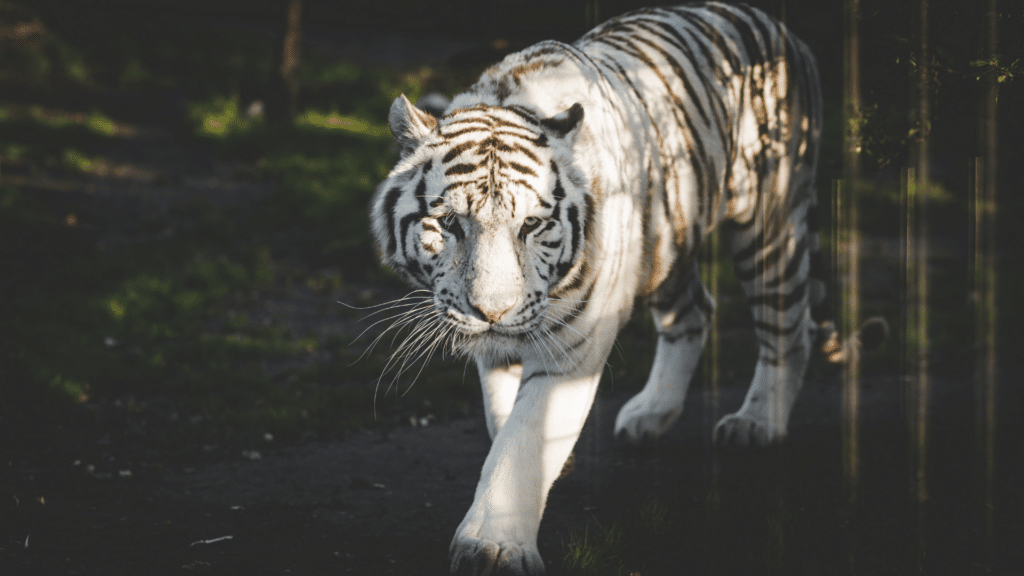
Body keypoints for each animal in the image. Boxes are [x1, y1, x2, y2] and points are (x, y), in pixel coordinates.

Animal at [372, 2, 884, 569]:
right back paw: (654, 413)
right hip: (666, 238)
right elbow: (501, 415)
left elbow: (520, 444)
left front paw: (494, 547)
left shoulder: (572, 347)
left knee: (790, 329)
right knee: (696, 312)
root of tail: (779, 28)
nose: (493, 312)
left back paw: (756, 423)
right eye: (449, 224)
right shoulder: (498, 349)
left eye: (532, 225)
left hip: (770, 224)